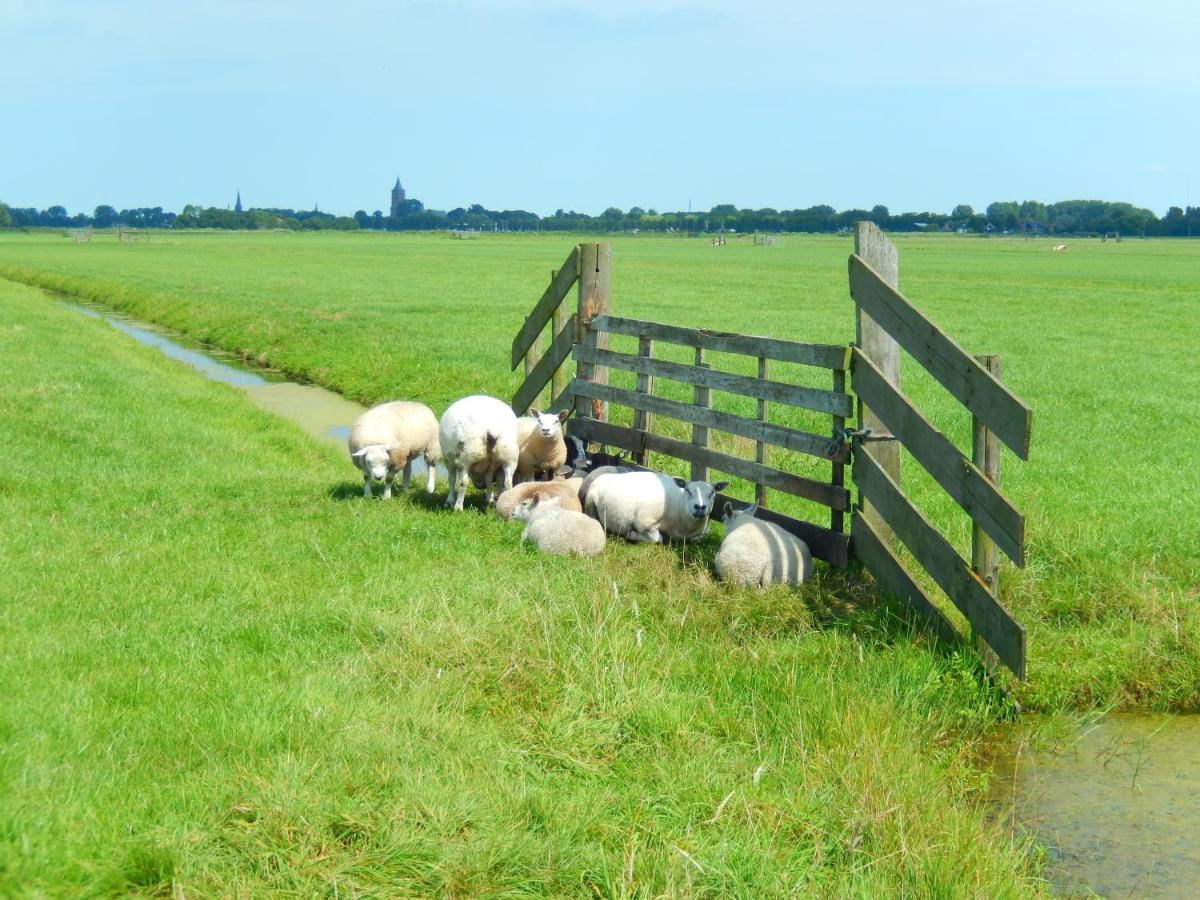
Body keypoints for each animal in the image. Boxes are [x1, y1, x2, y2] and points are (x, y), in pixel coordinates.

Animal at [583, 468, 729, 547]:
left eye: (712, 493)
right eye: (688, 490)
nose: (700, 507)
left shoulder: (701, 533)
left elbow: (696, 539)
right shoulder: (643, 522)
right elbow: (657, 538)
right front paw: (632, 535)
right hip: (591, 503)